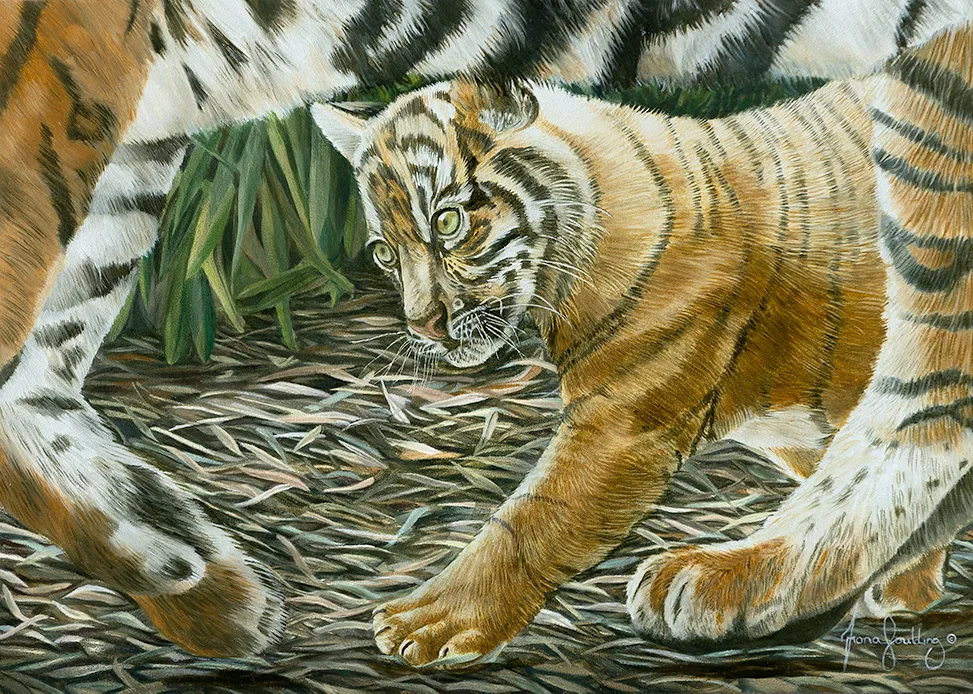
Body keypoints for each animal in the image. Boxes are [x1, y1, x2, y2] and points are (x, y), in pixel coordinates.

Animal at [0, 0, 969, 663]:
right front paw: (898, 587)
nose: (422, 325)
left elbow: (532, 517)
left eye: (449, 223)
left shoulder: (622, 418)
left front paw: (434, 618)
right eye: (384, 253)